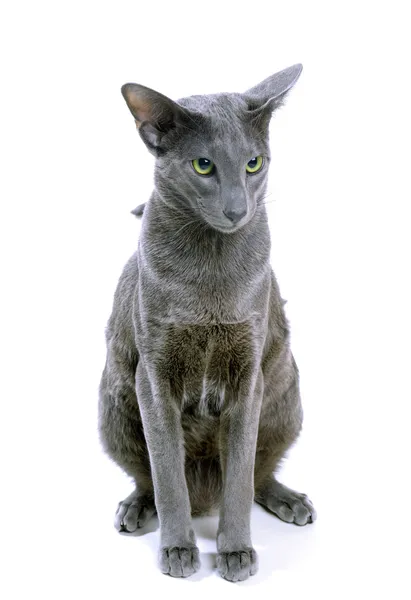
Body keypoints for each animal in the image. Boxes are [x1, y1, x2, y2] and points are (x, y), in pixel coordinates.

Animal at [98, 64, 318, 580]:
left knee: (259, 471)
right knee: (147, 476)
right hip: (113, 404)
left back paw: (289, 500)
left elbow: (239, 476)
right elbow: (166, 475)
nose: (237, 210)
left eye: (254, 164)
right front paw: (178, 550)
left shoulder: (248, 375)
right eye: (203, 166)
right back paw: (137, 508)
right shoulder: (153, 376)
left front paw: (235, 551)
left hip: (288, 400)